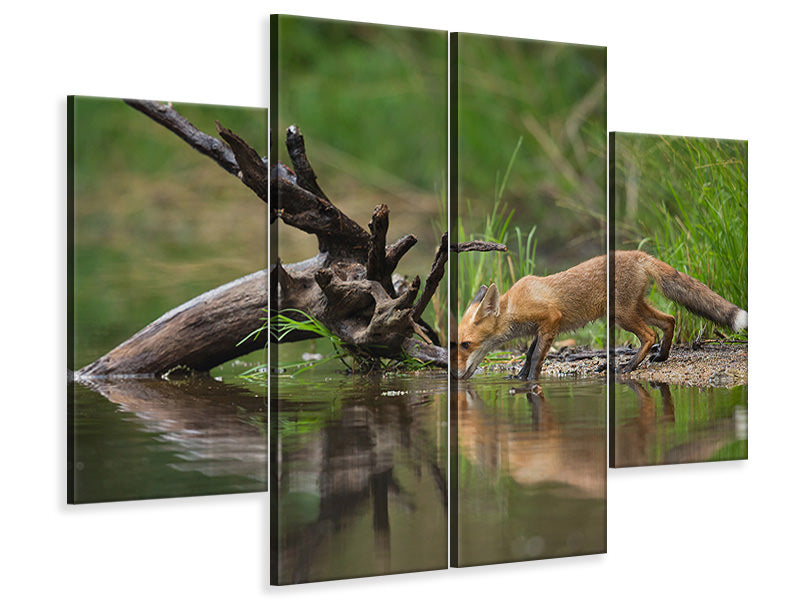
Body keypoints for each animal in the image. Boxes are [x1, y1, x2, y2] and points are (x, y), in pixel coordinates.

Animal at [454, 250, 747, 380]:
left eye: (465, 345)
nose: (454, 376)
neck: (513, 306)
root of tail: (637, 254)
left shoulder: (551, 318)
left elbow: (536, 357)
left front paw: (530, 380)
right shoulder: (541, 328)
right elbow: (528, 354)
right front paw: (519, 377)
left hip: (621, 315)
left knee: (649, 334)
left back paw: (627, 366)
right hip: (633, 308)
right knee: (669, 320)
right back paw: (661, 356)